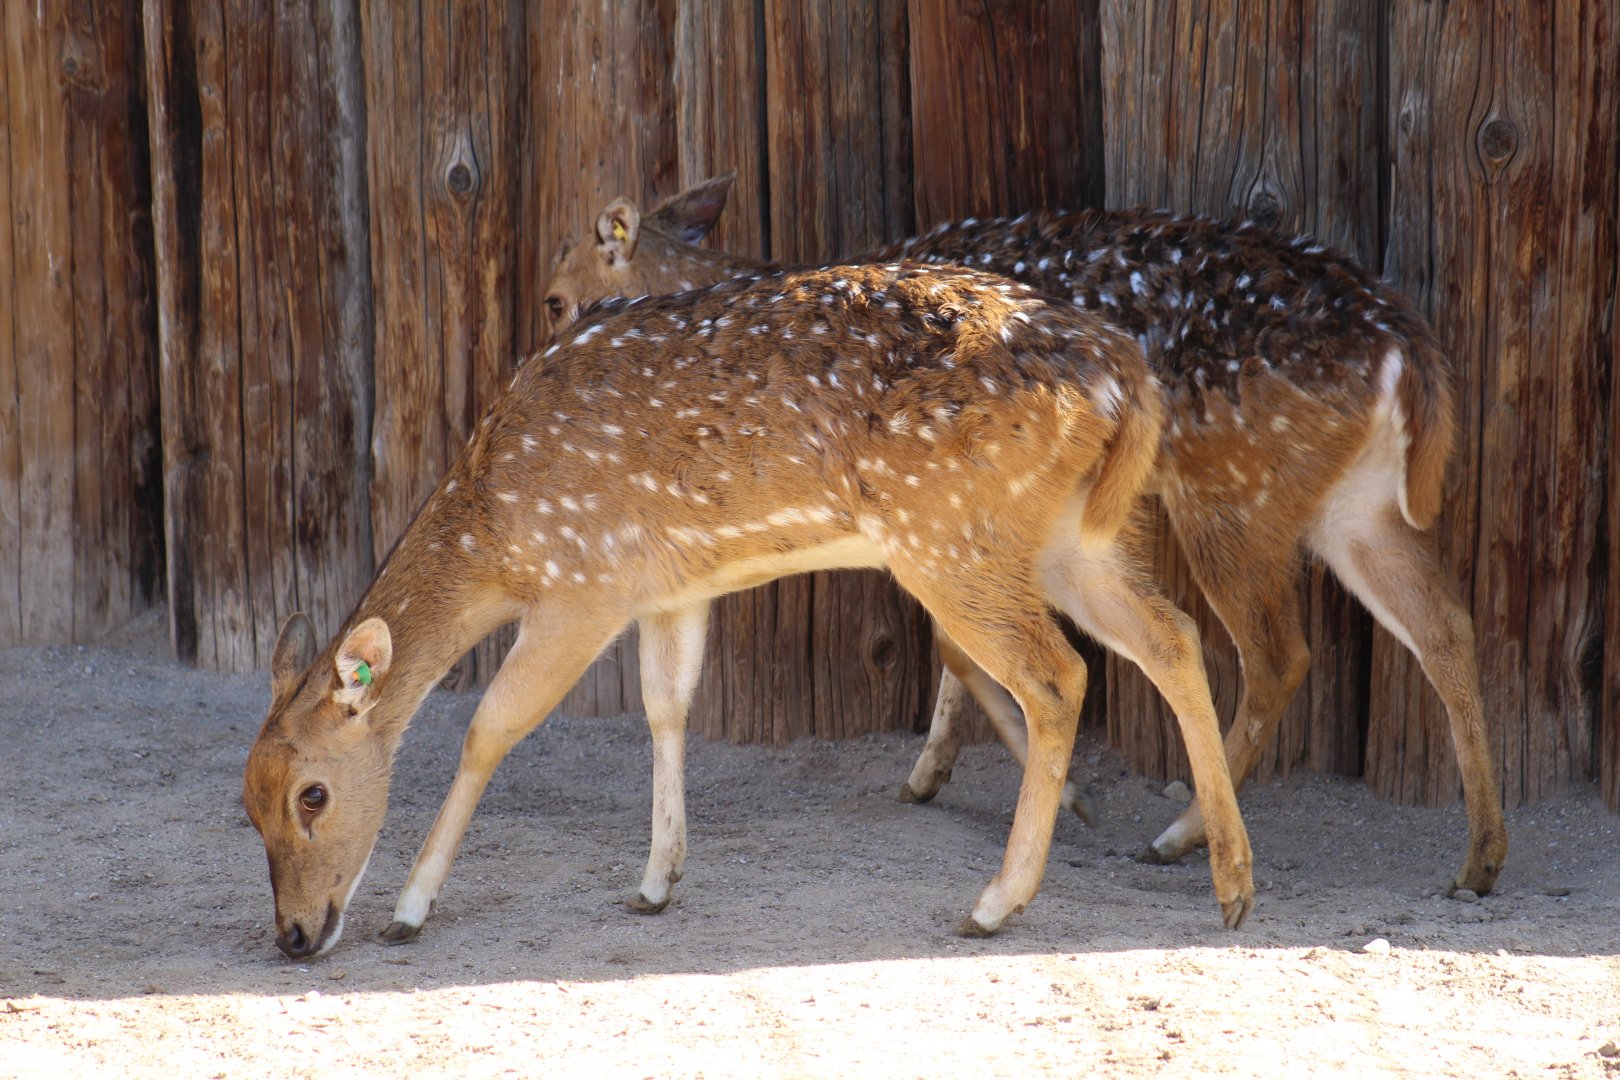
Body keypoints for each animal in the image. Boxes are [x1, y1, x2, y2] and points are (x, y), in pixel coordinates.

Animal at [243, 261, 1256, 959]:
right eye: (245, 807)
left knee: (1059, 675)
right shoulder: (669, 588)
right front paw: (656, 881)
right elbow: (666, 707)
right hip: (1068, 536)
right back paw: (1231, 884)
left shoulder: (583, 582)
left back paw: (997, 903)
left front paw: (410, 909)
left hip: (952, 538)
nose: (293, 935)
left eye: (311, 794)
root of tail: (1129, 379)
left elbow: (489, 727)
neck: (498, 527)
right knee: (1173, 635)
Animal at [542, 174, 1506, 900]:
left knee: (1278, 651)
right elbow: (954, 646)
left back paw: (1181, 837)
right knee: (1445, 624)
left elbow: (961, 646)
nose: (549, 350)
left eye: (556, 294)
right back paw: (1478, 861)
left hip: (1234, 494)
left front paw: (1058, 794)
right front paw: (933, 773)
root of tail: (1410, 354)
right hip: (1353, 504)